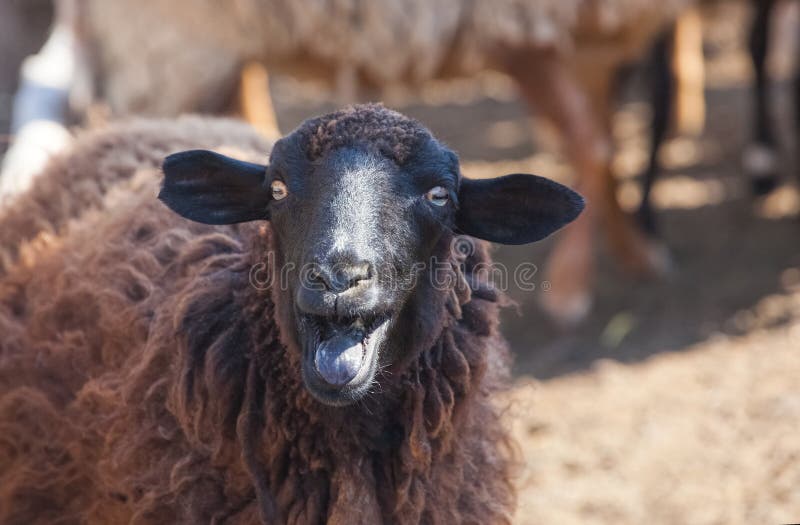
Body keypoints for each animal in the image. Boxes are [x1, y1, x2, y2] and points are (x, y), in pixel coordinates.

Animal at [2, 0, 693, 324]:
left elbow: (597, 142)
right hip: (169, 44)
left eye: (438, 196)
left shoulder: (582, 41)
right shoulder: (525, 34)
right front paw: (577, 287)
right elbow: (589, 142)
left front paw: (635, 251)